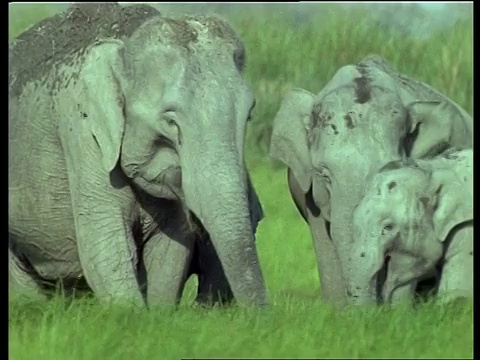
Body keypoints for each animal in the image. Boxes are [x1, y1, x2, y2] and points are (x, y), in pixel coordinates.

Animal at [7, 2, 268, 306]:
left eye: (249, 115)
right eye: (171, 122)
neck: (125, 42)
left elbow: (170, 250)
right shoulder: (82, 133)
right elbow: (104, 244)